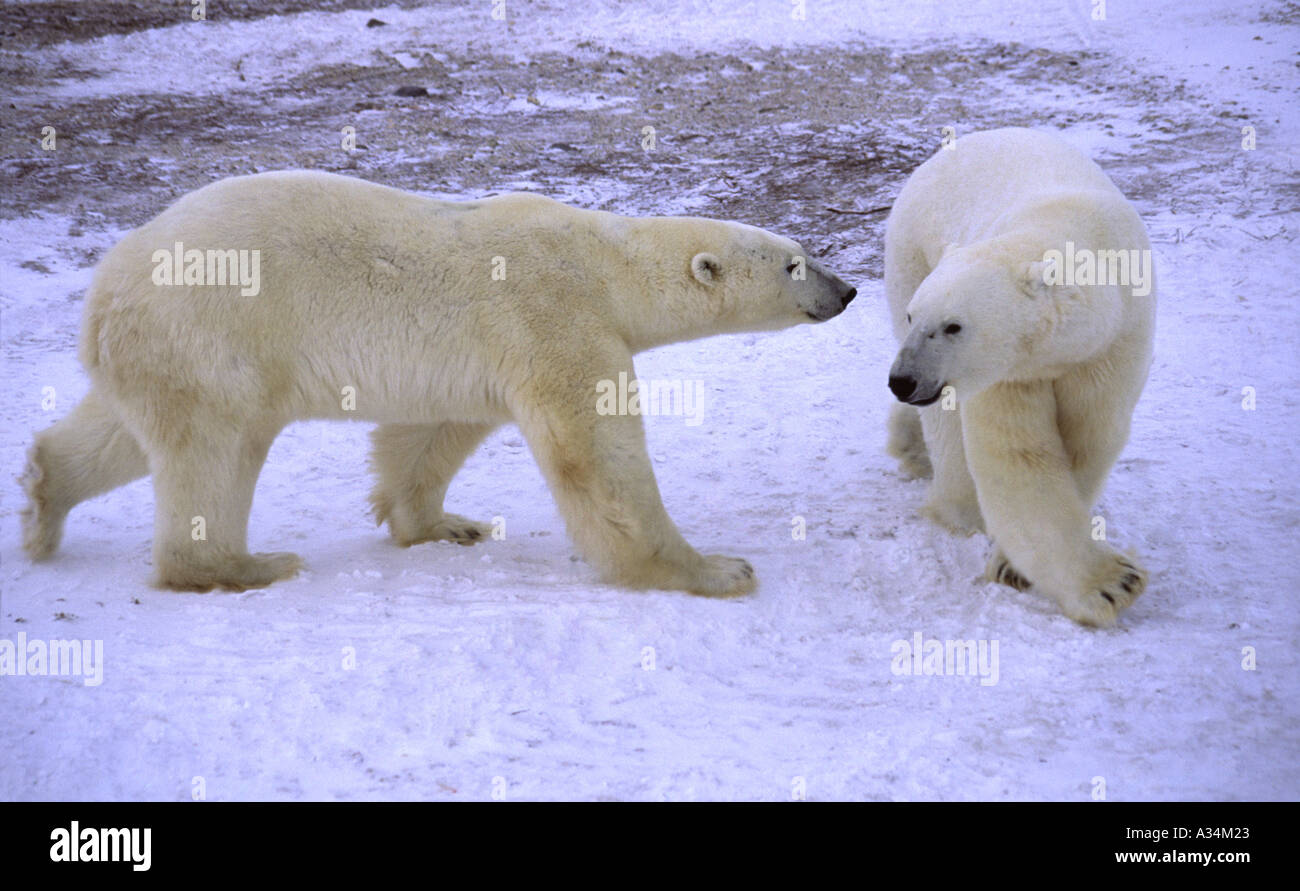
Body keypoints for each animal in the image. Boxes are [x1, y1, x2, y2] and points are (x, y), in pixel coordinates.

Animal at [25, 167, 857, 598]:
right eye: (794, 262)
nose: (846, 289)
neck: (603, 261)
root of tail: (102, 291)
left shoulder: (479, 351)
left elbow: (432, 432)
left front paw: (442, 523)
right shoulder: (553, 316)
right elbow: (598, 455)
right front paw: (715, 568)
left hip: (159, 350)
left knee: (123, 433)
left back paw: (43, 497)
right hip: (214, 334)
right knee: (215, 452)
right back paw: (244, 563)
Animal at [883, 128, 1159, 621]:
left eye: (953, 326)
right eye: (918, 317)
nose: (903, 380)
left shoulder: (1112, 344)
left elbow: (1088, 438)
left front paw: (1015, 566)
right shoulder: (1009, 372)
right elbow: (1020, 454)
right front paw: (1112, 584)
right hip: (910, 254)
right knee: (946, 424)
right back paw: (955, 503)